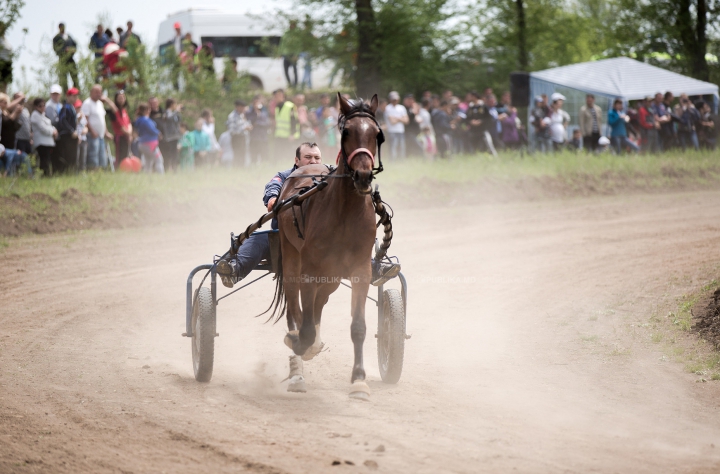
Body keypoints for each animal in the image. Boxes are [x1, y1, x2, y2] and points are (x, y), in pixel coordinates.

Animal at [272, 92, 380, 400]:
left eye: (376, 134)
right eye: (346, 132)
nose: (363, 176)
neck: (345, 211)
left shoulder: (360, 270)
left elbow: (358, 327)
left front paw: (359, 380)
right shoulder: (310, 268)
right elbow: (304, 326)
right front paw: (299, 344)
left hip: (332, 273)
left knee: (319, 302)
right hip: (291, 255)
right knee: (296, 305)